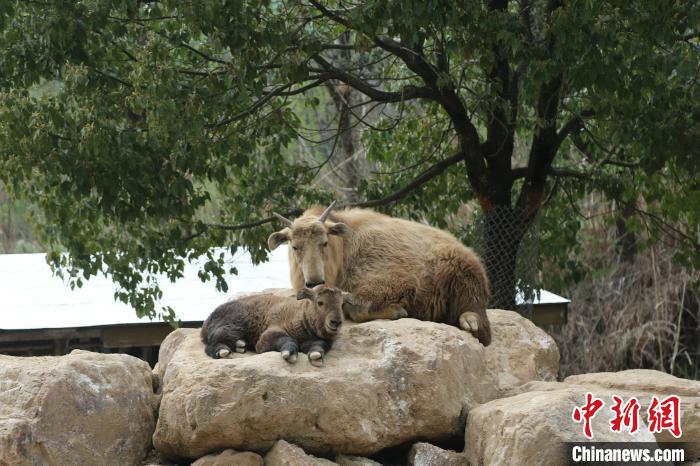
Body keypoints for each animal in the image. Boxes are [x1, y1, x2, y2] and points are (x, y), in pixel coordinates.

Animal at [200, 286, 348, 366]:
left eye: (341, 304)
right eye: (320, 302)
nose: (336, 322)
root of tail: (207, 321)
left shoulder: (320, 340)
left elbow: (319, 346)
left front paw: (316, 356)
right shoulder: (268, 336)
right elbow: (287, 339)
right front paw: (290, 352)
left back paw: (240, 345)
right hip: (231, 325)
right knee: (212, 344)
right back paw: (223, 351)